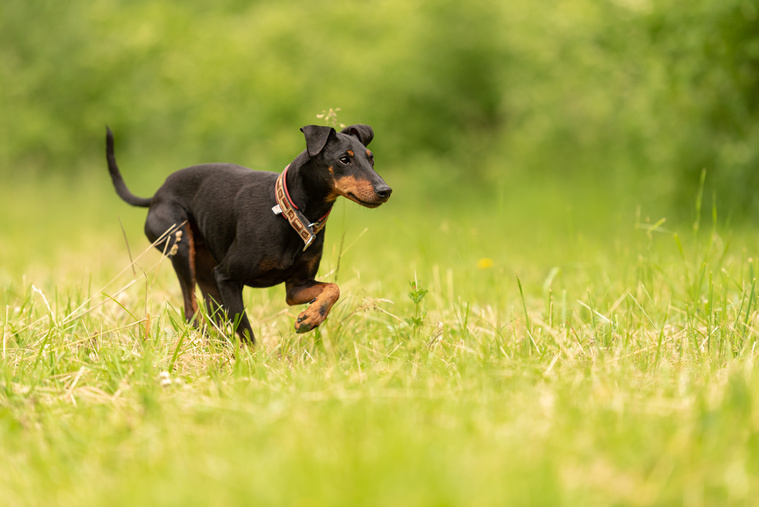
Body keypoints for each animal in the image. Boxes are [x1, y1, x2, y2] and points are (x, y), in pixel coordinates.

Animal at [105, 124, 392, 344]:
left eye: (371, 158)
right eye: (344, 159)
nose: (385, 190)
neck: (290, 214)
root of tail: (156, 195)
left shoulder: (296, 287)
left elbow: (334, 288)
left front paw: (311, 318)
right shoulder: (228, 277)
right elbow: (245, 330)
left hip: (207, 272)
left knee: (212, 316)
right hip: (181, 246)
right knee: (191, 310)